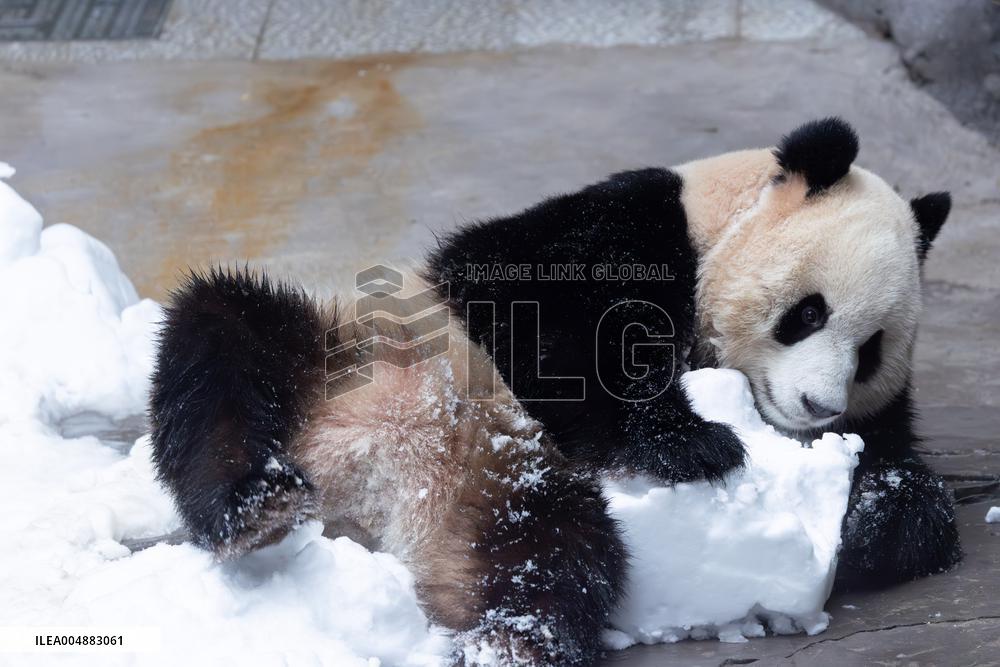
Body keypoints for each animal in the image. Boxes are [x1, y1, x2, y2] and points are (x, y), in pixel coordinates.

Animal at [149, 268, 626, 665]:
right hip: (320, 358)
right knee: (217, 351)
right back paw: (256, 505)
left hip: (506, 478)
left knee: (557, 553)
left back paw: (506, 644)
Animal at [425, 117, 961, 590]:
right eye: (810, 313)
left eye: (871, 349)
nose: (819, 406)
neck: (719, 229)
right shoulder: (619, 231)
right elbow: (536, 309)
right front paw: (692, 442)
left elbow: (890, 453)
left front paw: (881, 523)